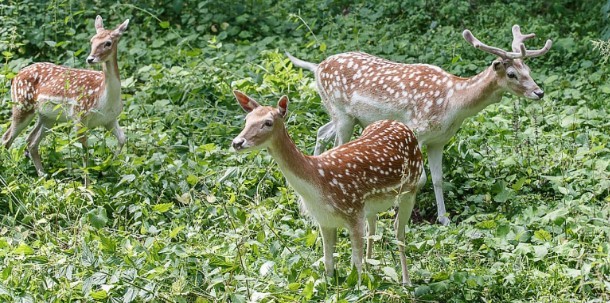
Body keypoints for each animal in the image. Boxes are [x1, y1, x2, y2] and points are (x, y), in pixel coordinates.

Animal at [2, 16, 129, 178]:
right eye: (92, 41)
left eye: (108, 42)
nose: (90, 59)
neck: (104, 97)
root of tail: (14, 77)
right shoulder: (79, 116)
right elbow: (85, 153)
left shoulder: (109, 119)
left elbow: (122, 139)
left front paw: (110, 167)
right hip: (22, 105)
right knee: (6, 138)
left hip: (47, 117)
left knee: (31, 140)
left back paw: (42, 176)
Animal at [230, 89, 420, 284]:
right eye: (247, 119)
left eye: (268, 122)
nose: (237, 142)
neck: (318, 183)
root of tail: (401, 125)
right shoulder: (324, 219)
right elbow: (328, 262)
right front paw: (331, 281)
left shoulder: (353, 213)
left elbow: (355, 266)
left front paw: (360, 284)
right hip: (371, 204)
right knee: (373, 225)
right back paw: (371, 267)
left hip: (412, 187)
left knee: (398, 230)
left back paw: (406, 281)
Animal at [284, 25, 552, 226]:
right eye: (511, 74)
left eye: (528, 69)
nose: (539, 92)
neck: (452, 103)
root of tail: (317, 67)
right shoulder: (416, 129)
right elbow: (419, 178)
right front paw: (401, 214)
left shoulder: (439, 140)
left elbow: (437, 179)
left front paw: (444, 219)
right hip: (342, 114)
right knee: (337, 145)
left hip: (341, 115)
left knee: (321, 132)